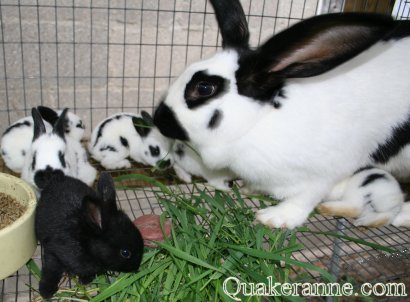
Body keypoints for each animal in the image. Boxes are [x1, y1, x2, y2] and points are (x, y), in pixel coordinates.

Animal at [35, 170, 144, 300]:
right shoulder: (53, 251)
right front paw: (46, 292)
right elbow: (51, 270)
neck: (86, 243)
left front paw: (85, 280)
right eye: (125, 253)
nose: (136, 268)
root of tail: (54, 179)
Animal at [153, 0, 410, 228]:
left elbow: (306, 197)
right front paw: (249, 189)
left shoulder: (330, 170)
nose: (158, 119)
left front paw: (275, 218)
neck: (258, 122)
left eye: (204, 88)